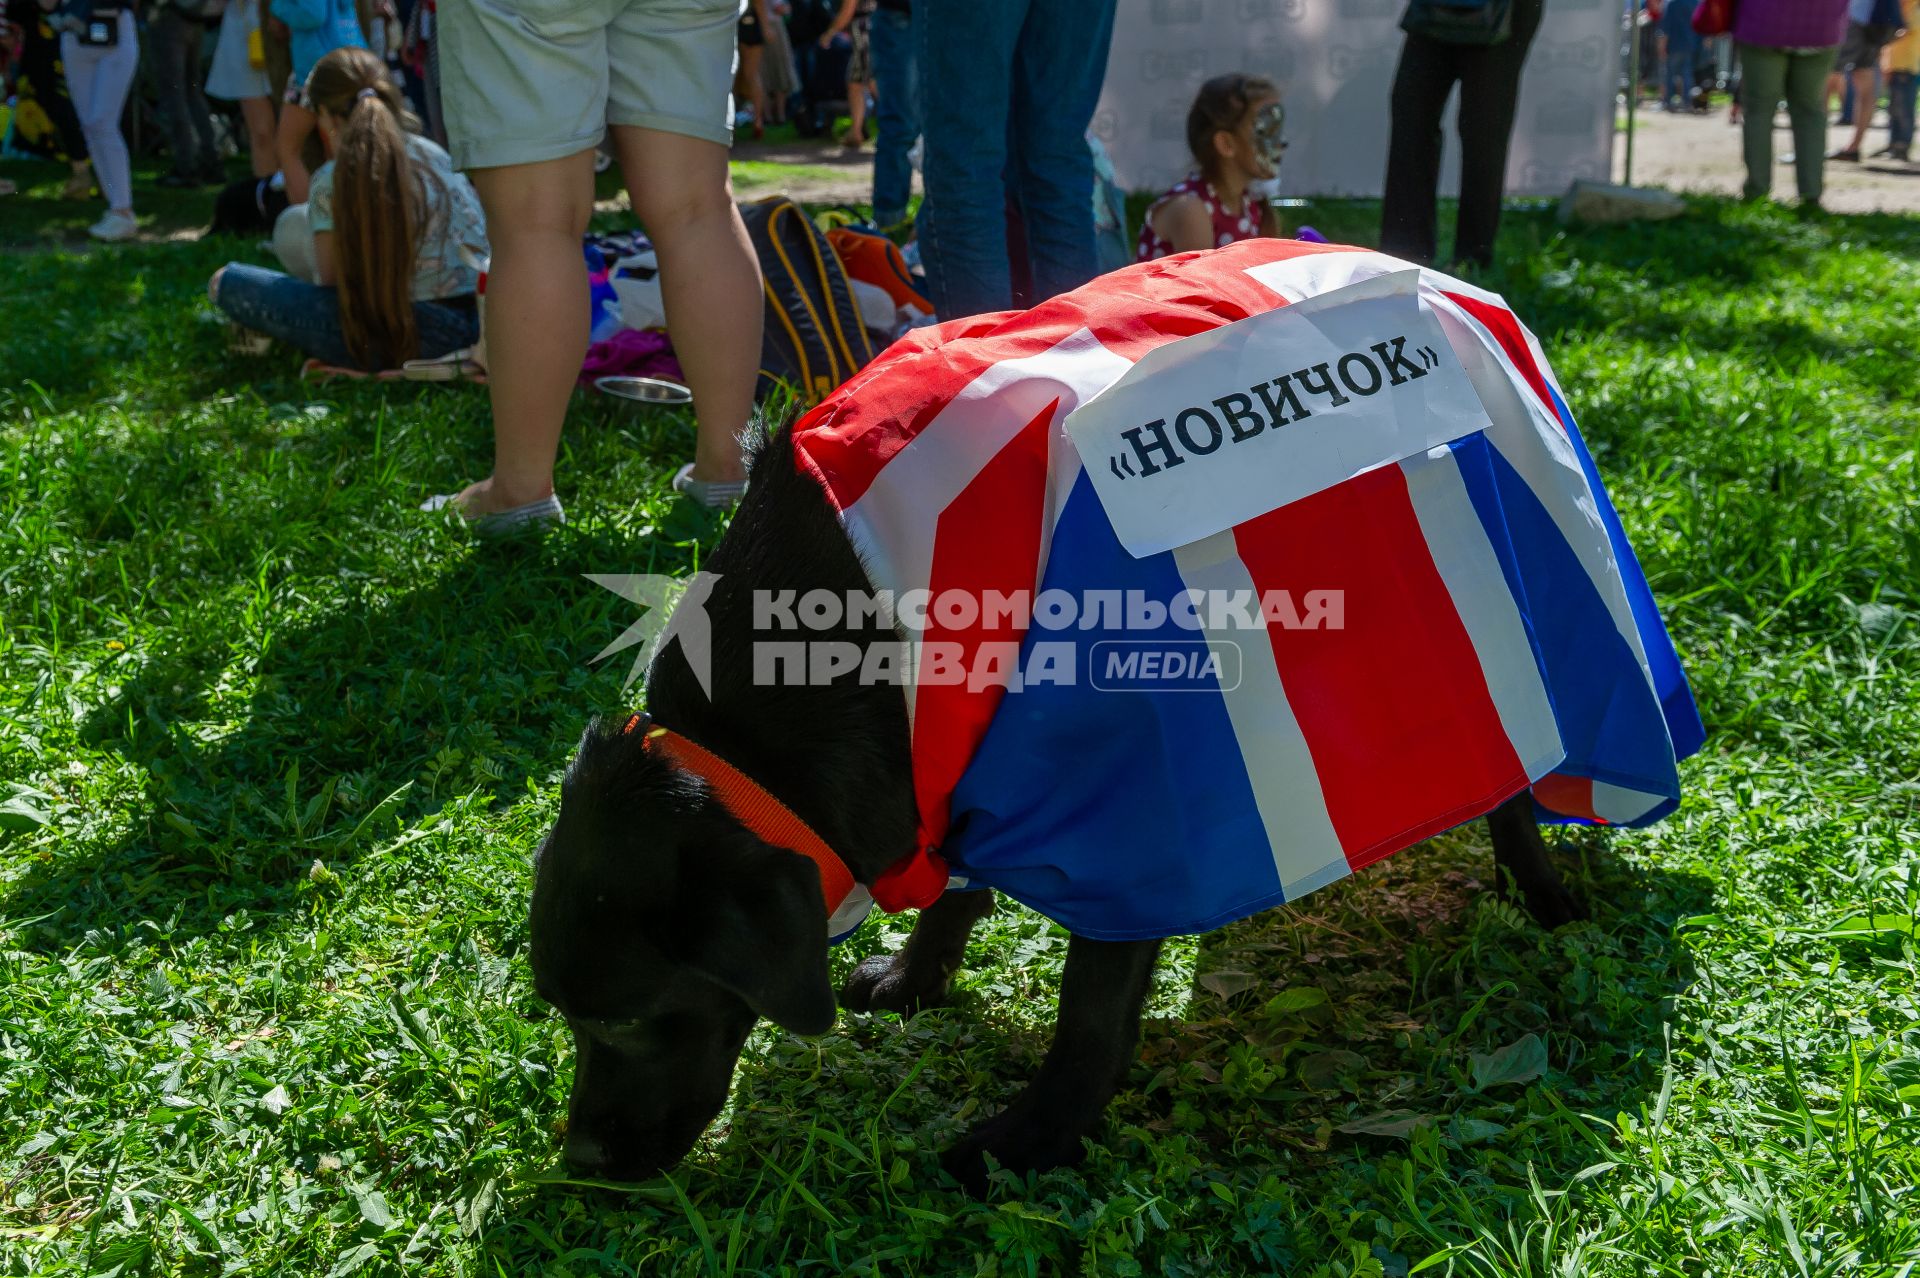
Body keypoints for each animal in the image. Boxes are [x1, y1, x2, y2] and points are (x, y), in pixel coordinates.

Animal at [529, 426, 1589, 1182]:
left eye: (624, 1021)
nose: (578, 1163)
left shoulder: (1133, 806)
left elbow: (1087, 1016)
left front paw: (1035, 1139)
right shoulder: (950, 763)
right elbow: (956, 889)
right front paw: (916, 981)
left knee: (1521, 766)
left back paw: (1540, 891)